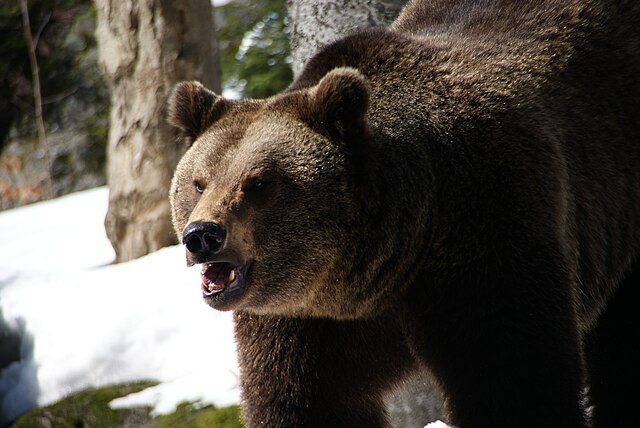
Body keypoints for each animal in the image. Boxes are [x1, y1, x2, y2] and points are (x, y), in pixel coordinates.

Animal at [166, 1, 640, 426]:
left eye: (259, 182)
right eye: (199, 182)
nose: (202, 235)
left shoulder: (487, 226)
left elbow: (512, 376)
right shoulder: (302, 320)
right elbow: (305, 400)